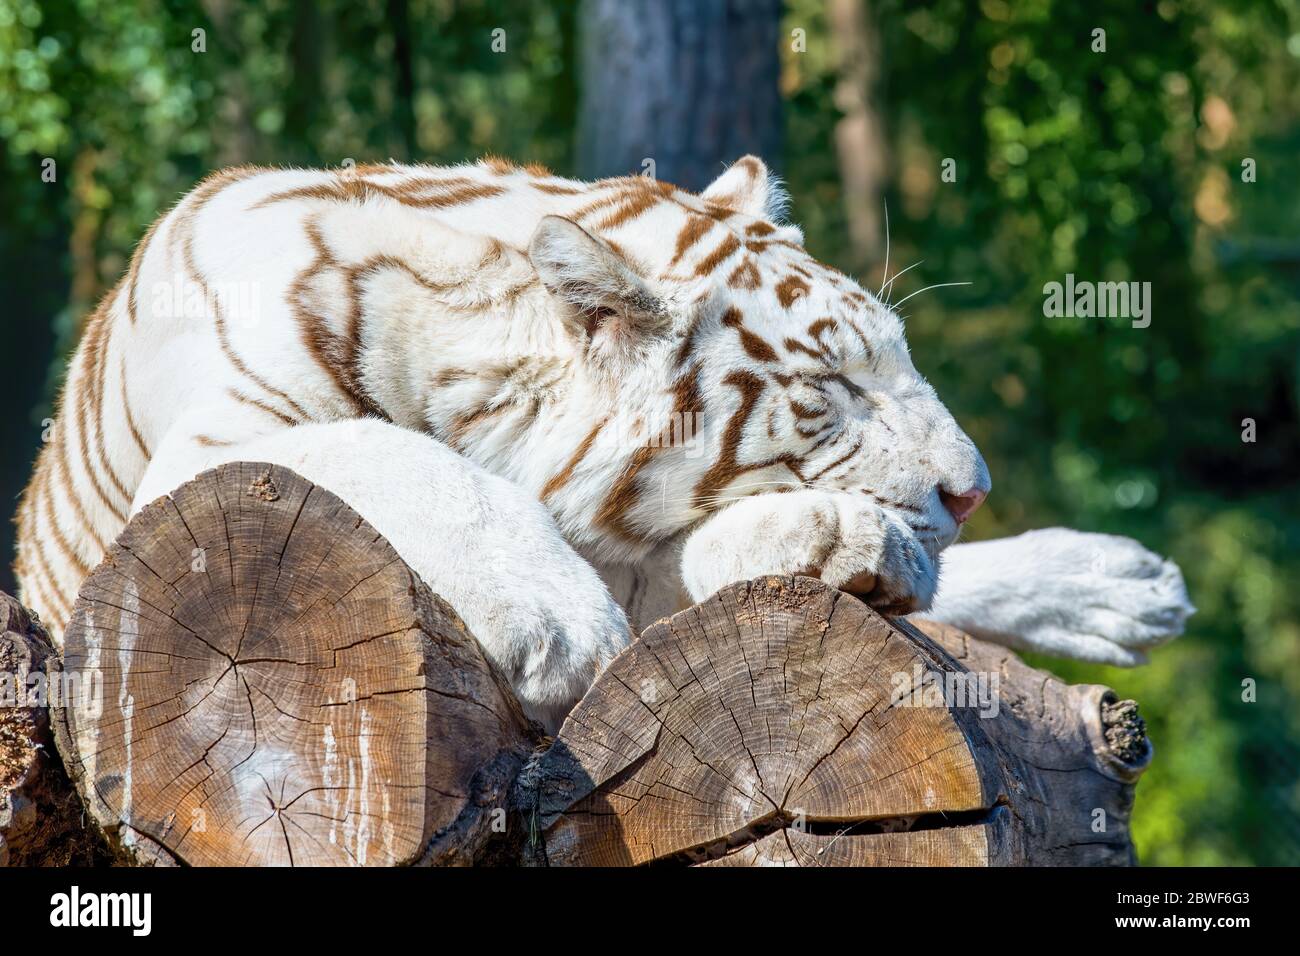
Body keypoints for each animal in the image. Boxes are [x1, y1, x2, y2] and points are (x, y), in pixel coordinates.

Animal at [12, 153, 1190, 728]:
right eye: (831, 387)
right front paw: (555, 623)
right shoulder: (215, 445)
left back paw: (1119, 582)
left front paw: (842, 541)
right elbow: (395, 453)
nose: (972, 490)